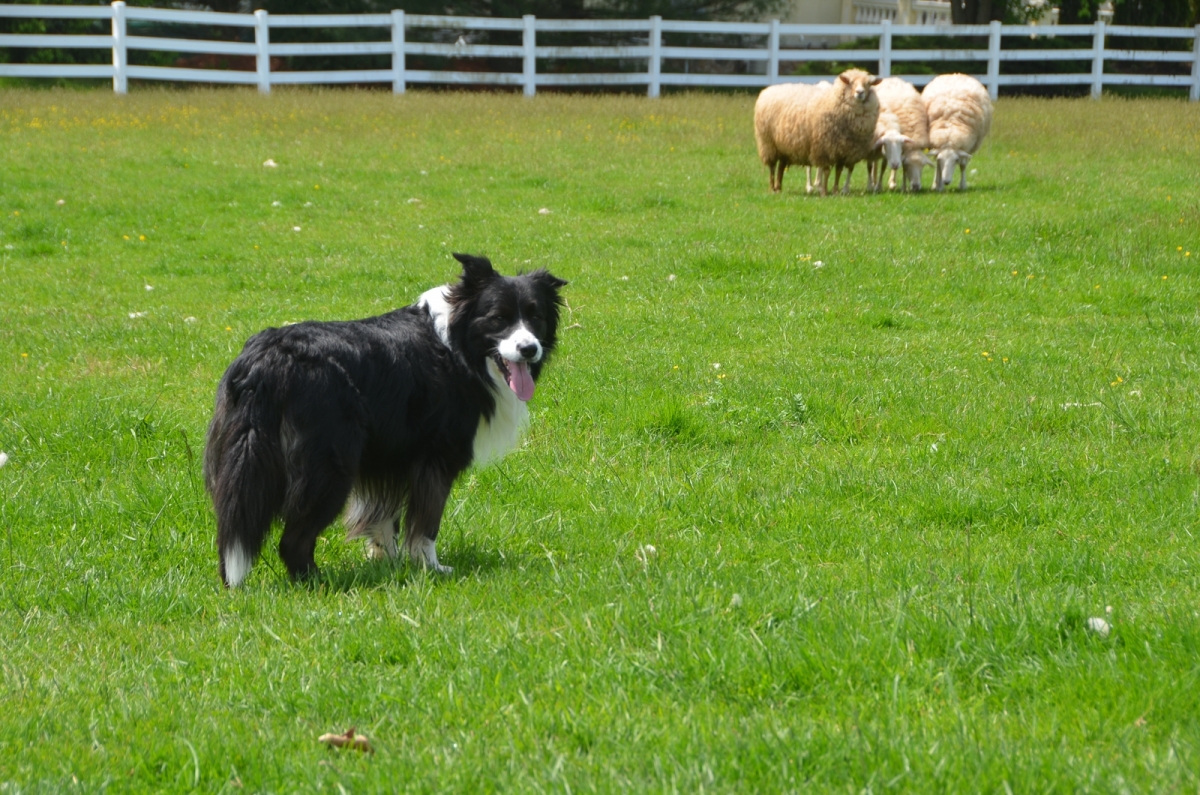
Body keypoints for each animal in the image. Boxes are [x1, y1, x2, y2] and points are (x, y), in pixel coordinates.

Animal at [203, 253, 566, 587]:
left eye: (535, 317)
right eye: (498, 319)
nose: (529, 349)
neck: (458, 347)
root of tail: (269, 358)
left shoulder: (388, 457)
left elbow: (383, 517)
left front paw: (386, 561)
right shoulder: (435, 458)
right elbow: (426, 524)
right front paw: (430, 567)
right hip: (329, 465)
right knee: (293, 540)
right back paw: (318, 583)